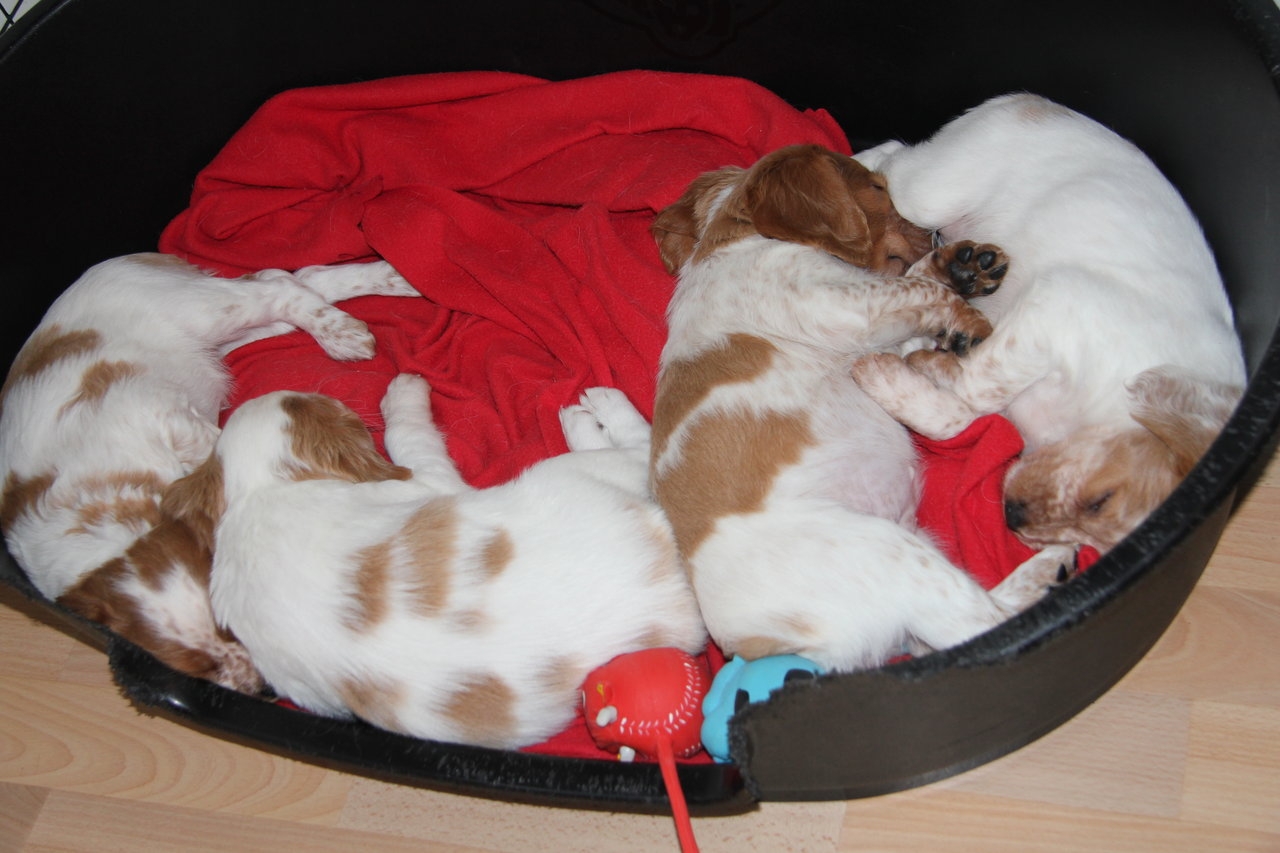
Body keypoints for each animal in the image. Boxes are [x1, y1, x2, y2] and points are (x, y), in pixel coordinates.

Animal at [0, 252, 420, 691]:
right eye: (202, 668)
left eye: (227, 626)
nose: (264, 691)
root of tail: (135, 259)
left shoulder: (160, 414)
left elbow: (214, 444)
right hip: (228, 332)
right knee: (293, 279)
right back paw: (391, 281)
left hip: (204, 311)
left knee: (279, 289)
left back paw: (345, 329)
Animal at [162, 376, 706, 749]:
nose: (329, 394)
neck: (258, 491)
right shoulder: (427, 483)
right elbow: (410, 437)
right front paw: (403, 394)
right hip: (574, 476)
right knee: (640, 449)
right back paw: (588, 413)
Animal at [648, 143, 1072, 672]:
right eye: (877, 187)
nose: (937, 234)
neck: (736, 243)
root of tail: (765, 648)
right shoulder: (848, 307)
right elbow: (919, 288)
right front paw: (970, 318)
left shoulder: (880, 322)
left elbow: (918, 285)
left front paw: (961, 268)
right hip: (894, 552)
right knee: (984, 628)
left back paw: (1051, 566)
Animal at [851, 94, 1246, 553]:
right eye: (1102, 499)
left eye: (1097, 542)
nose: (1012, 517)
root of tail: (1031, 100)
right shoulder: (1061, 302)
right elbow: (978, 388)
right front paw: (924, 365)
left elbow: (963, 415)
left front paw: (918, 369)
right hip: (930, 190)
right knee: (892, 157)